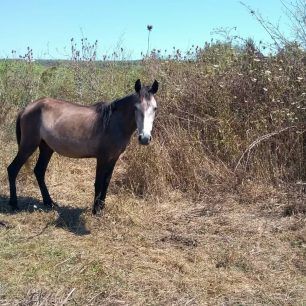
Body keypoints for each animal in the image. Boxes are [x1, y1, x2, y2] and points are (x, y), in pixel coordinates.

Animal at [6, 78, 159, 215]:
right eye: (136, 107)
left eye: (155, 108)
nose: (145, 138)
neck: (113, 123)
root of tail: (27, 108)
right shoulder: (102, 158)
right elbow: (98, 182)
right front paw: (95, 210)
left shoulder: (113, 158)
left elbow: (106, 182)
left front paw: (102, 208)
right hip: (28, 146)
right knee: (13, 169)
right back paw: (14, 204)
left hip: (46, 148)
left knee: (39, 171)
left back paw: (49, 202)